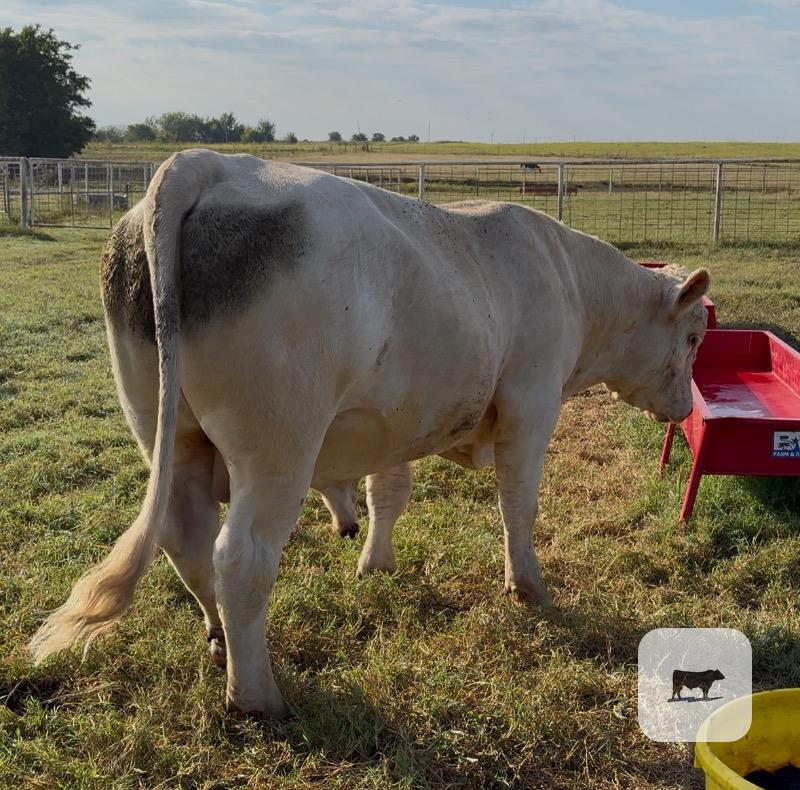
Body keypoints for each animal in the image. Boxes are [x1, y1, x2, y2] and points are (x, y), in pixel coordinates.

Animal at [28, 149, 709, 719]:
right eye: (695, 336)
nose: (683, 407)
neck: (568, 277)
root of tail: (205, 163)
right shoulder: (531, 402)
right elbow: (518, 504)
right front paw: (529, 586)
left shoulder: (396, 421)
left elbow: (390, 494)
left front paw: (374, 564)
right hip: (278, 445)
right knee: (240, 556)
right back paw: (257, 698)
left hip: (163, 431)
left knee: (184, 535)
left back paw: (220, 642)